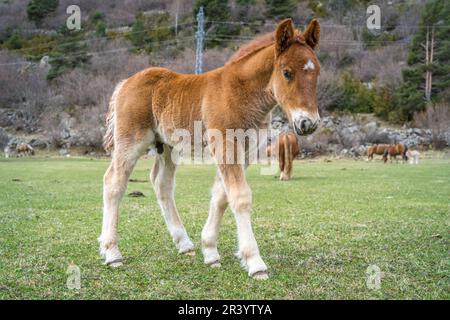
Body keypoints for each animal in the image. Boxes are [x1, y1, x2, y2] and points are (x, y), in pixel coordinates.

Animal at [100, 18, 322, 278]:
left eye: (317, 71)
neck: (240, 92)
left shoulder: (245, 152)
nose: (308, 123)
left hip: (167, 147)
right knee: (114, 182)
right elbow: (240, 197)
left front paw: (210, 251)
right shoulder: (226, 146)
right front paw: (255, 262)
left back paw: (184, 243)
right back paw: (112, 253)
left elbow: (221, 196)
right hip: (130, 142)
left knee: (161, 183)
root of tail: (125, 83)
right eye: (286, 72)